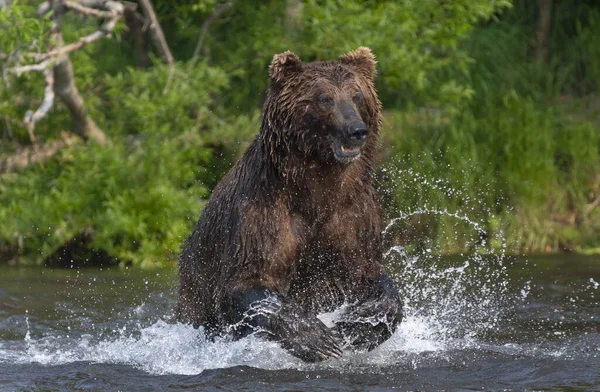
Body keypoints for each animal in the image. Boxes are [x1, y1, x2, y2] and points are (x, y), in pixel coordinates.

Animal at [178, 47, 404, 362]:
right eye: (325, 98)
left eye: (357, 95)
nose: (356, 130)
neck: (317, 188)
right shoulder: (262, 215)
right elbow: (246, 283)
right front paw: (318, 339)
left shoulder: (354, 216)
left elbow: (370, 274)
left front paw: (358, 327)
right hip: (195, 280)